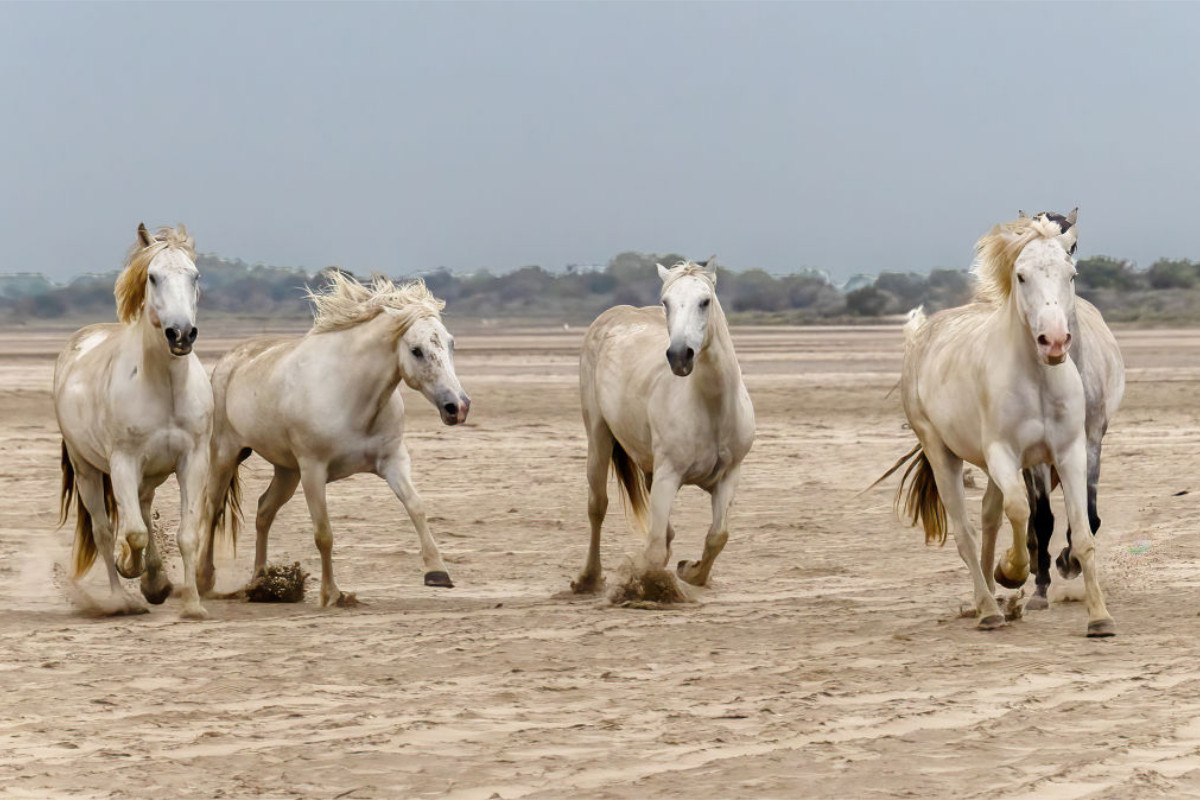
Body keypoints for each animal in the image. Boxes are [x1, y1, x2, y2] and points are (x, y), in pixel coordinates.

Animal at [55, 224, 212, 618]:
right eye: (153, 277)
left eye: (195, 275)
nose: (181, 334)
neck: (165, 386)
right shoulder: (123, 462)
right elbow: (133, 533)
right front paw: (129, 566)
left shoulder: (193, 459)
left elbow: (188, 534)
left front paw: (192, 605)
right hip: (87, 470)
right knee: (104, 530)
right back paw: (121, 599)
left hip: (149, 474)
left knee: (140, 508)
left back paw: (156, 583)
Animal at [201, 272, 468, 604]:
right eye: (416, 350)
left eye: (451, 343)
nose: (458, 407)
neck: (351, 395)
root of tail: (229, 361)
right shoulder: (313, 471)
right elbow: (324, 533)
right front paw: (331, 593)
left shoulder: (393, 461)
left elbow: (416, 506)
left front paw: (437, 572)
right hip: (226, 455)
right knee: (212, 509)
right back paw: (204, 579)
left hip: (286, 471)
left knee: (264, 511)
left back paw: (261, 582)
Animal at [573, 257, 758, 594]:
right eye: (666, 302)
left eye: (705, 301)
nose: (679, 356)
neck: (710, 409)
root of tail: (613, 315)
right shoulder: (668, 475)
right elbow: (656, 546)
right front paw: (650, 589)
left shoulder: (728, 476)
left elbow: (717, 537)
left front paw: (690, 571)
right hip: (598, 435)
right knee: (597, 506)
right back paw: (588, 578)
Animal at [883, 212, 1113, 638]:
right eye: (1021, 276)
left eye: (1071, 273)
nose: (1054, 341)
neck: (1037, 380)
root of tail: (922, 333)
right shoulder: (1005, 454)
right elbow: (1021, 511)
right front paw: (1012, 571)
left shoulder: (1070, 451)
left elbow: (1082, 532)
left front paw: (1100, 618)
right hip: (943, 453)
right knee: (967, 531)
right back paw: (989, 609)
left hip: (990, 466)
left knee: (990, 517)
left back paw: (988, 597)